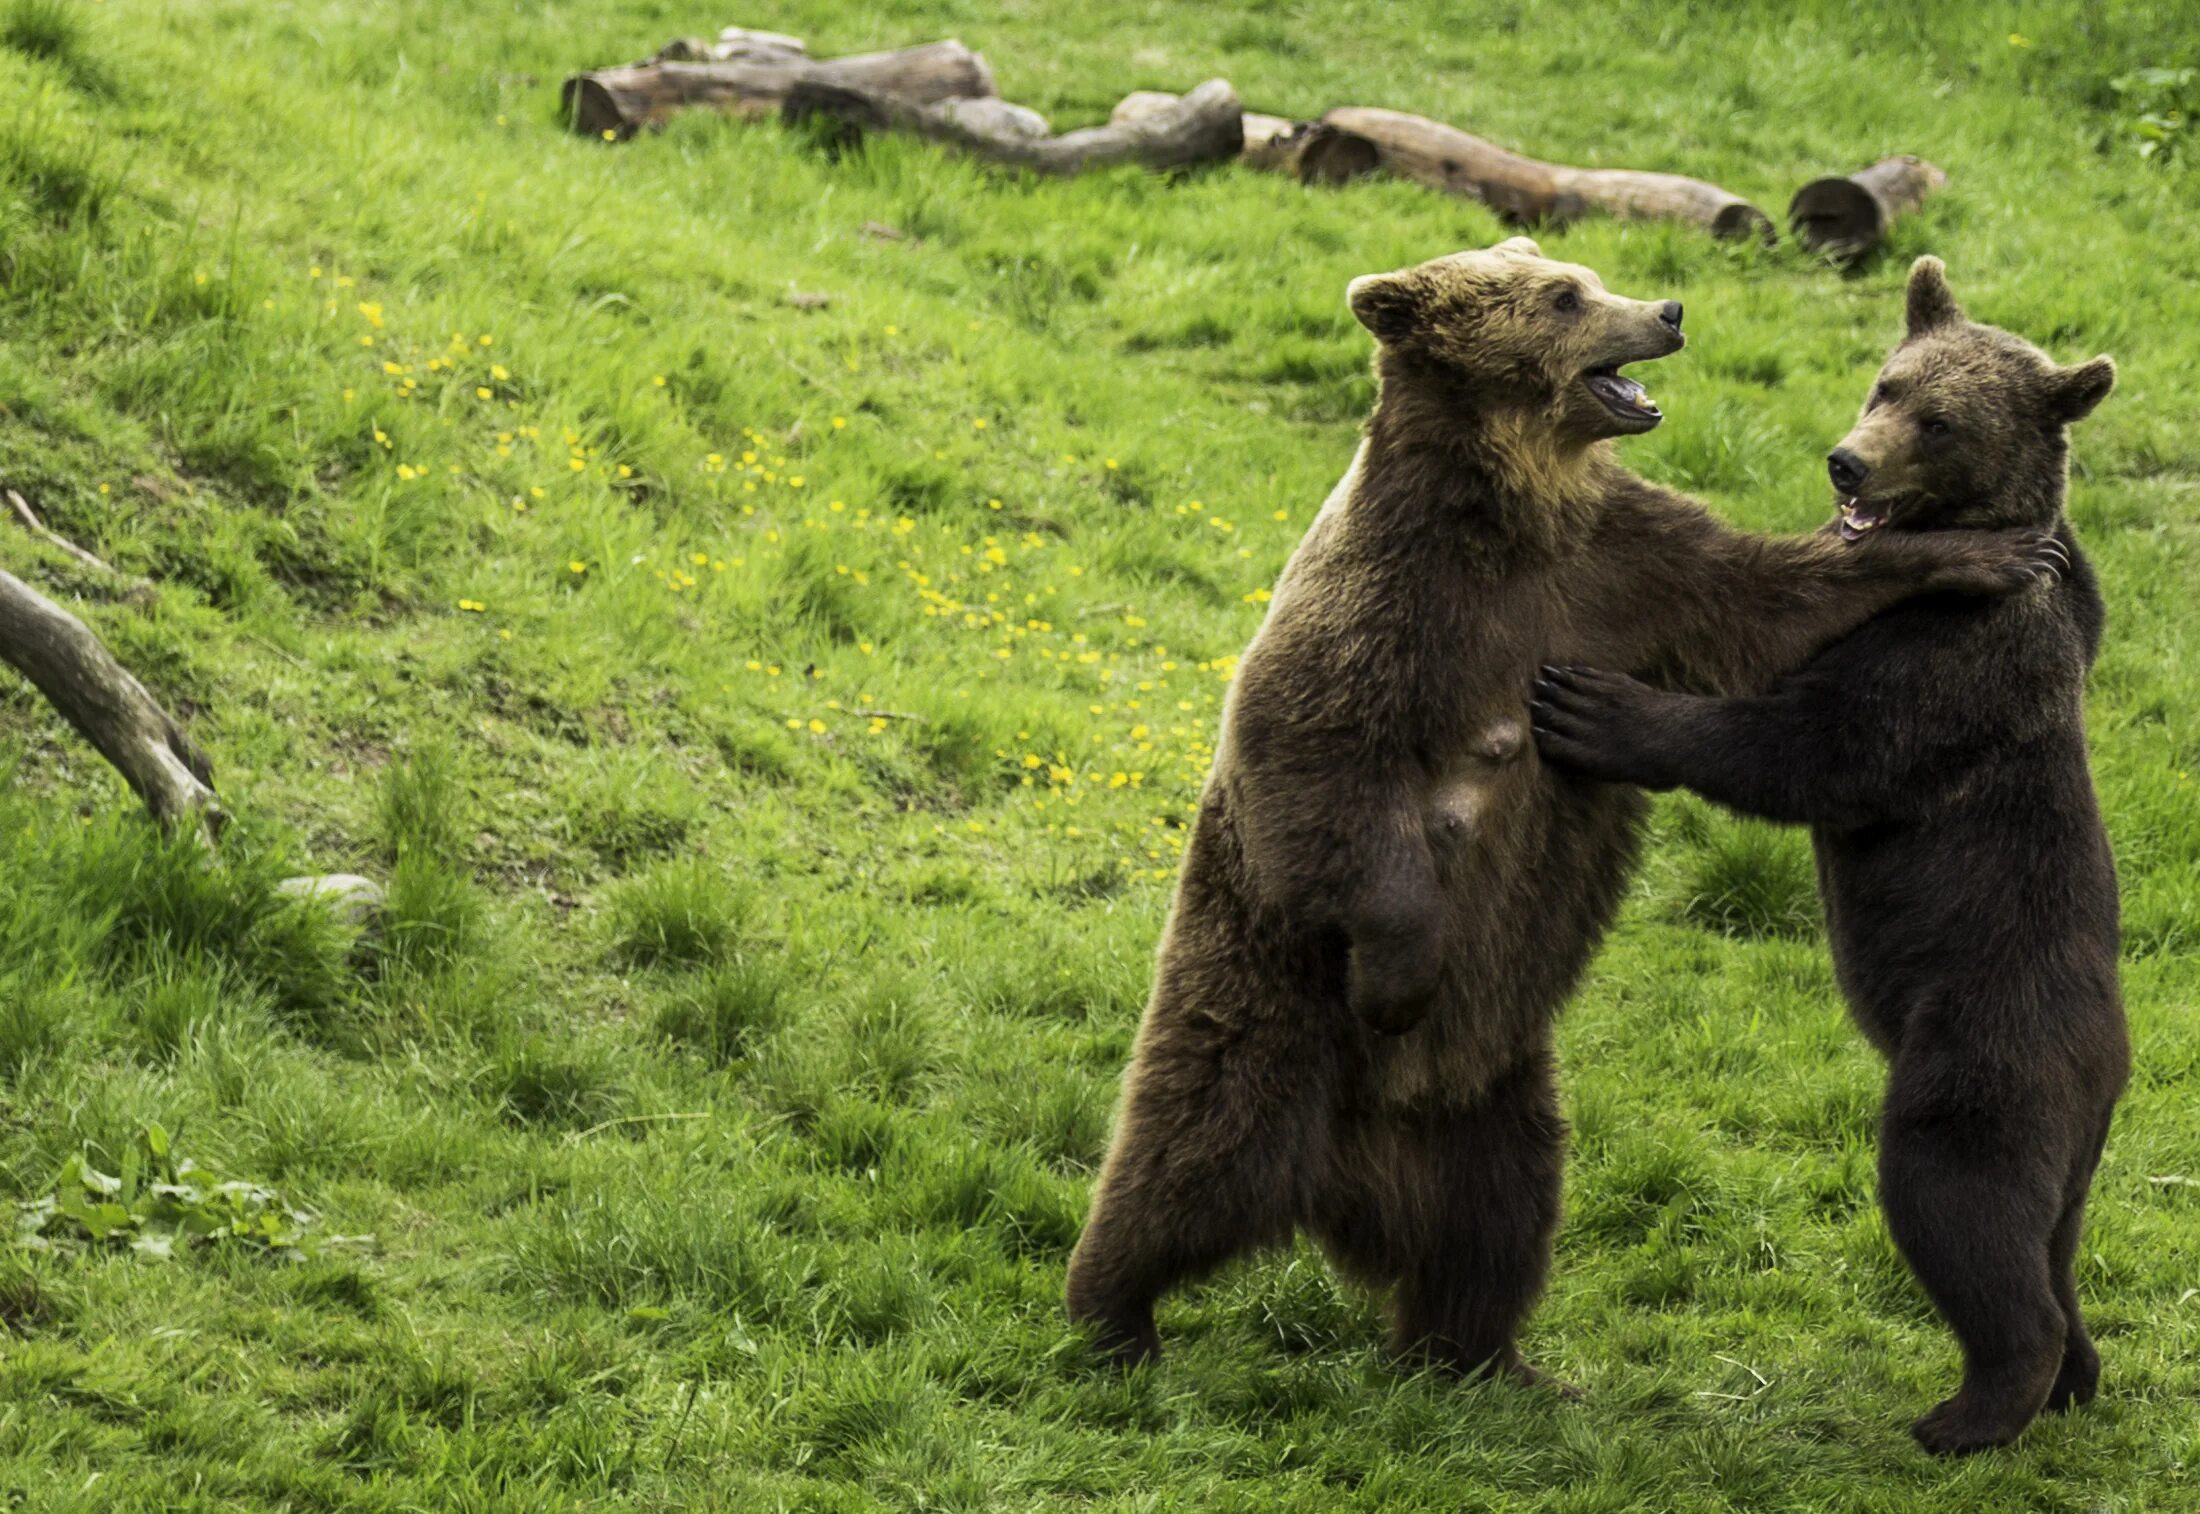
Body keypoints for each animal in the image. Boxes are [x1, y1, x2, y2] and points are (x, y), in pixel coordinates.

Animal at [1064, 236, 2059, 1381]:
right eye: (1562, 297)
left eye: (1585, 276)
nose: (1668, 309)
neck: (1511, 508)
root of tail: (1353, 1173)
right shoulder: (1381, 606)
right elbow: (1316, 753)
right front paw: (1398, 979)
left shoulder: (1617, 568)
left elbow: (1768, 597)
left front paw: (1979, 550)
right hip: (1268, 1008)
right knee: (1187, 1152)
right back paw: (1111, 1316)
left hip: (1499, 1086)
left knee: (1496, 1216)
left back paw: (1488, 1358)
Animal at [1531, 254, 2129, 1452]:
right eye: (1886, 381)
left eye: (1940, 419)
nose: (1847, 459)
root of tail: (2118, 1063)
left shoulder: (1951, 665)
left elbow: (1814, 746)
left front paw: (1597, 705)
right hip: (2063, 1135)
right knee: (2051, 1240)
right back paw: (2073, 1377)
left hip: (1984, 1048)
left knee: (1959, 1199)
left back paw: (1969, 1409)